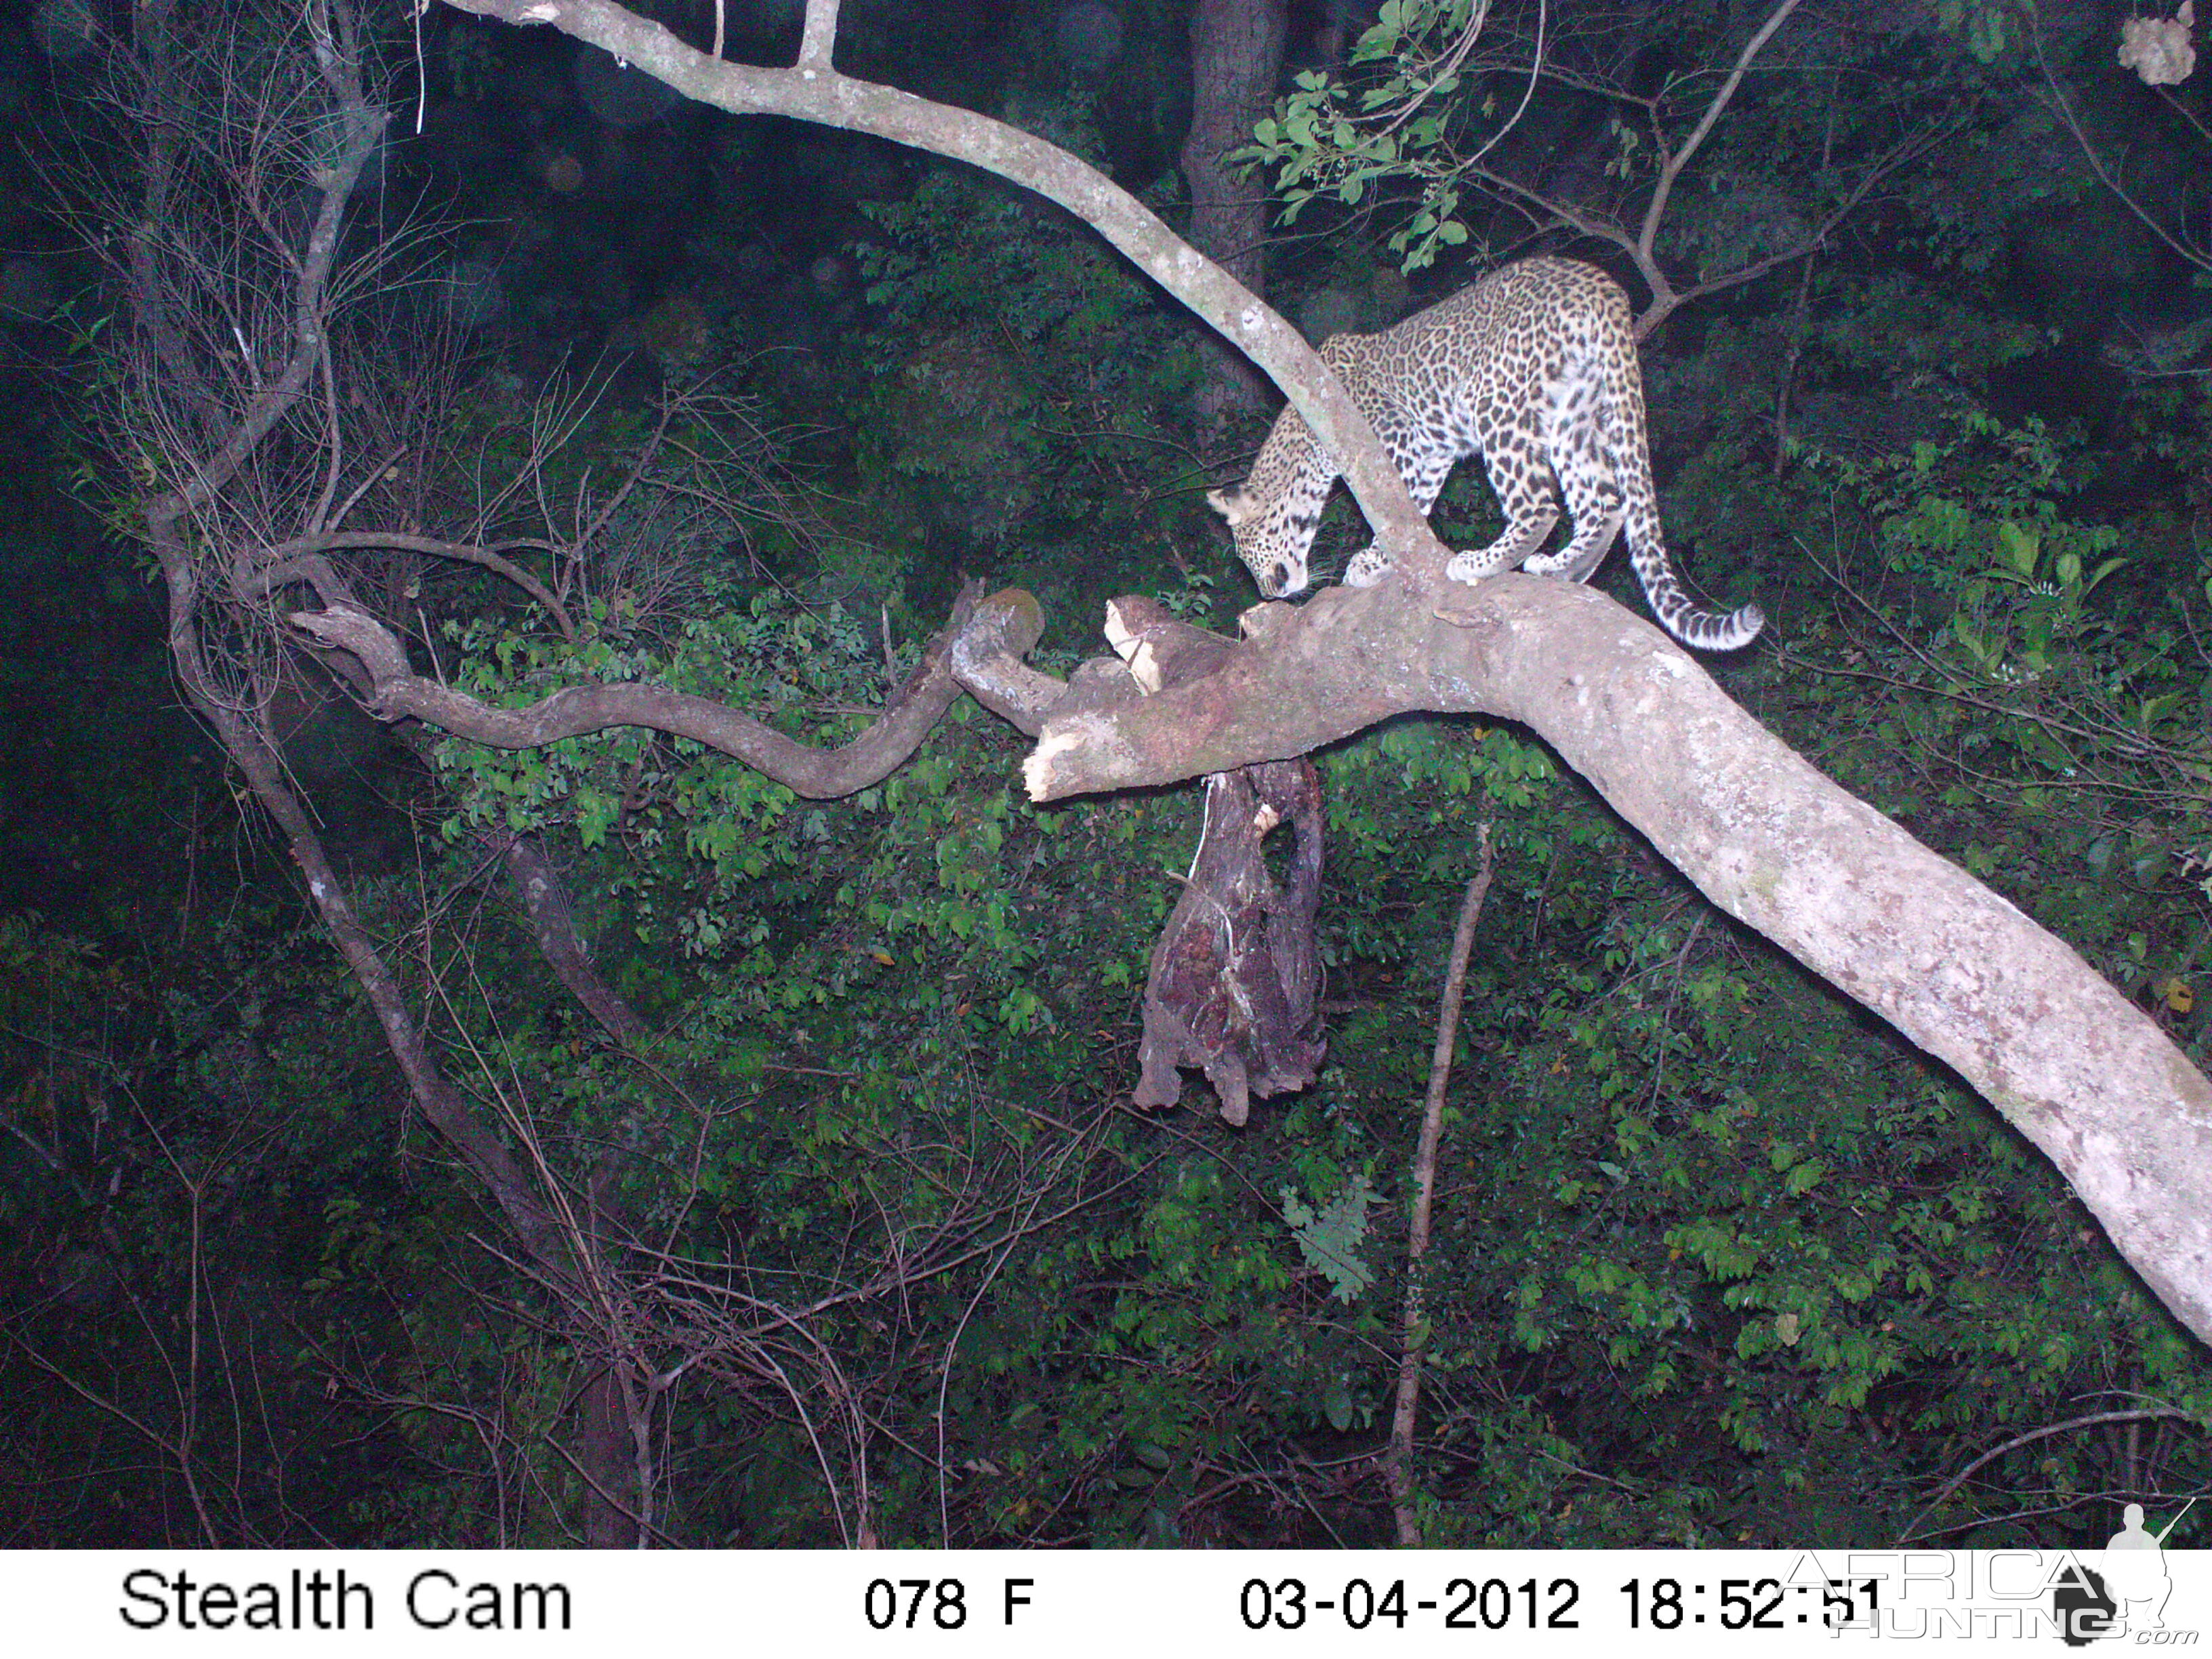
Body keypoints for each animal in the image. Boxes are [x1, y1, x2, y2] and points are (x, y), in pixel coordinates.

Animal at [1212, 256, 1761, 655]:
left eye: (1244, 552)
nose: (1266, 594)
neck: (1305, 446)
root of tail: (1598, 283)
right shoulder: (1432, 452)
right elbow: (1414, 507)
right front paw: (1382, 560)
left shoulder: (1395, 438)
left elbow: (1393, 508)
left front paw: (1371, 561)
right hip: (1576, 412)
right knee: (1606, 503)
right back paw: (1563, 570)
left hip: (1499, 405)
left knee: (1541, 506)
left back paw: (1483, 562)